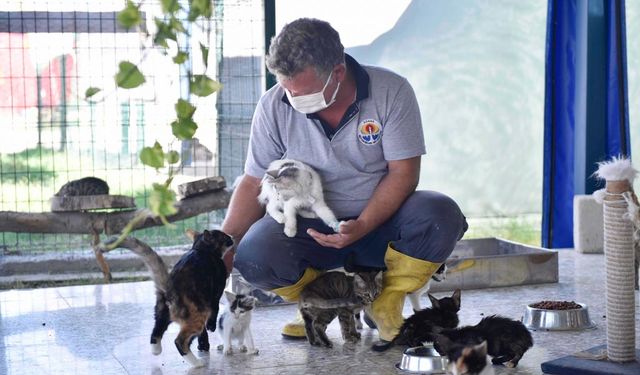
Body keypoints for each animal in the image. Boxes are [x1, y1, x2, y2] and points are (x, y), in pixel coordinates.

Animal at [149, 229, 234, 368]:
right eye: (224, 235)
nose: (231, 236)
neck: (200, 249)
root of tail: (170, 291)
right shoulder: (216, 292)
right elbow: (215, 308)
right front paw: (211, 326)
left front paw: (203, 344)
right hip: (197, 313)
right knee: (179, 341)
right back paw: (196, 362)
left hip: (161, 311)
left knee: (157, 330)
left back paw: (156, 350)